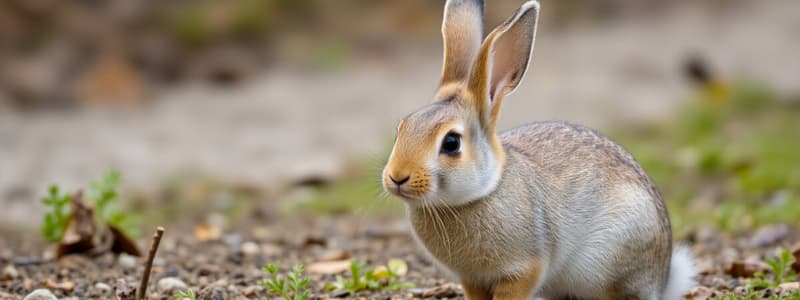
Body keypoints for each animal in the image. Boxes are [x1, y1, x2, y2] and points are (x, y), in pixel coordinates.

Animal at [378, 1, 696, 298]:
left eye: (451, 143)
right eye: (401, 129)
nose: (397, 177)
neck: (477, 194)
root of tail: (662, 277)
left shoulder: (524, 269)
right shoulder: (472, 280)